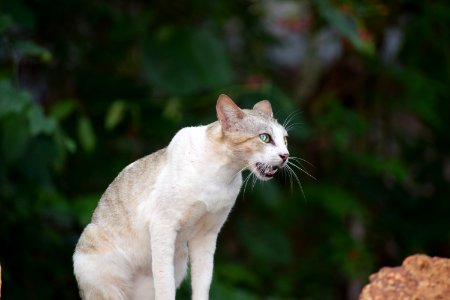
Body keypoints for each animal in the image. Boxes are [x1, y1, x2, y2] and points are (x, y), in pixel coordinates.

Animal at [73, 94, 292, 300]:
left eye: (285, 140)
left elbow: (203, 282)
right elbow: (165, 285)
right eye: (265, 138)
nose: (285, 155)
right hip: (108, 277)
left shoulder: (207, 235)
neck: (221, 175)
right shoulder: (163, 226)